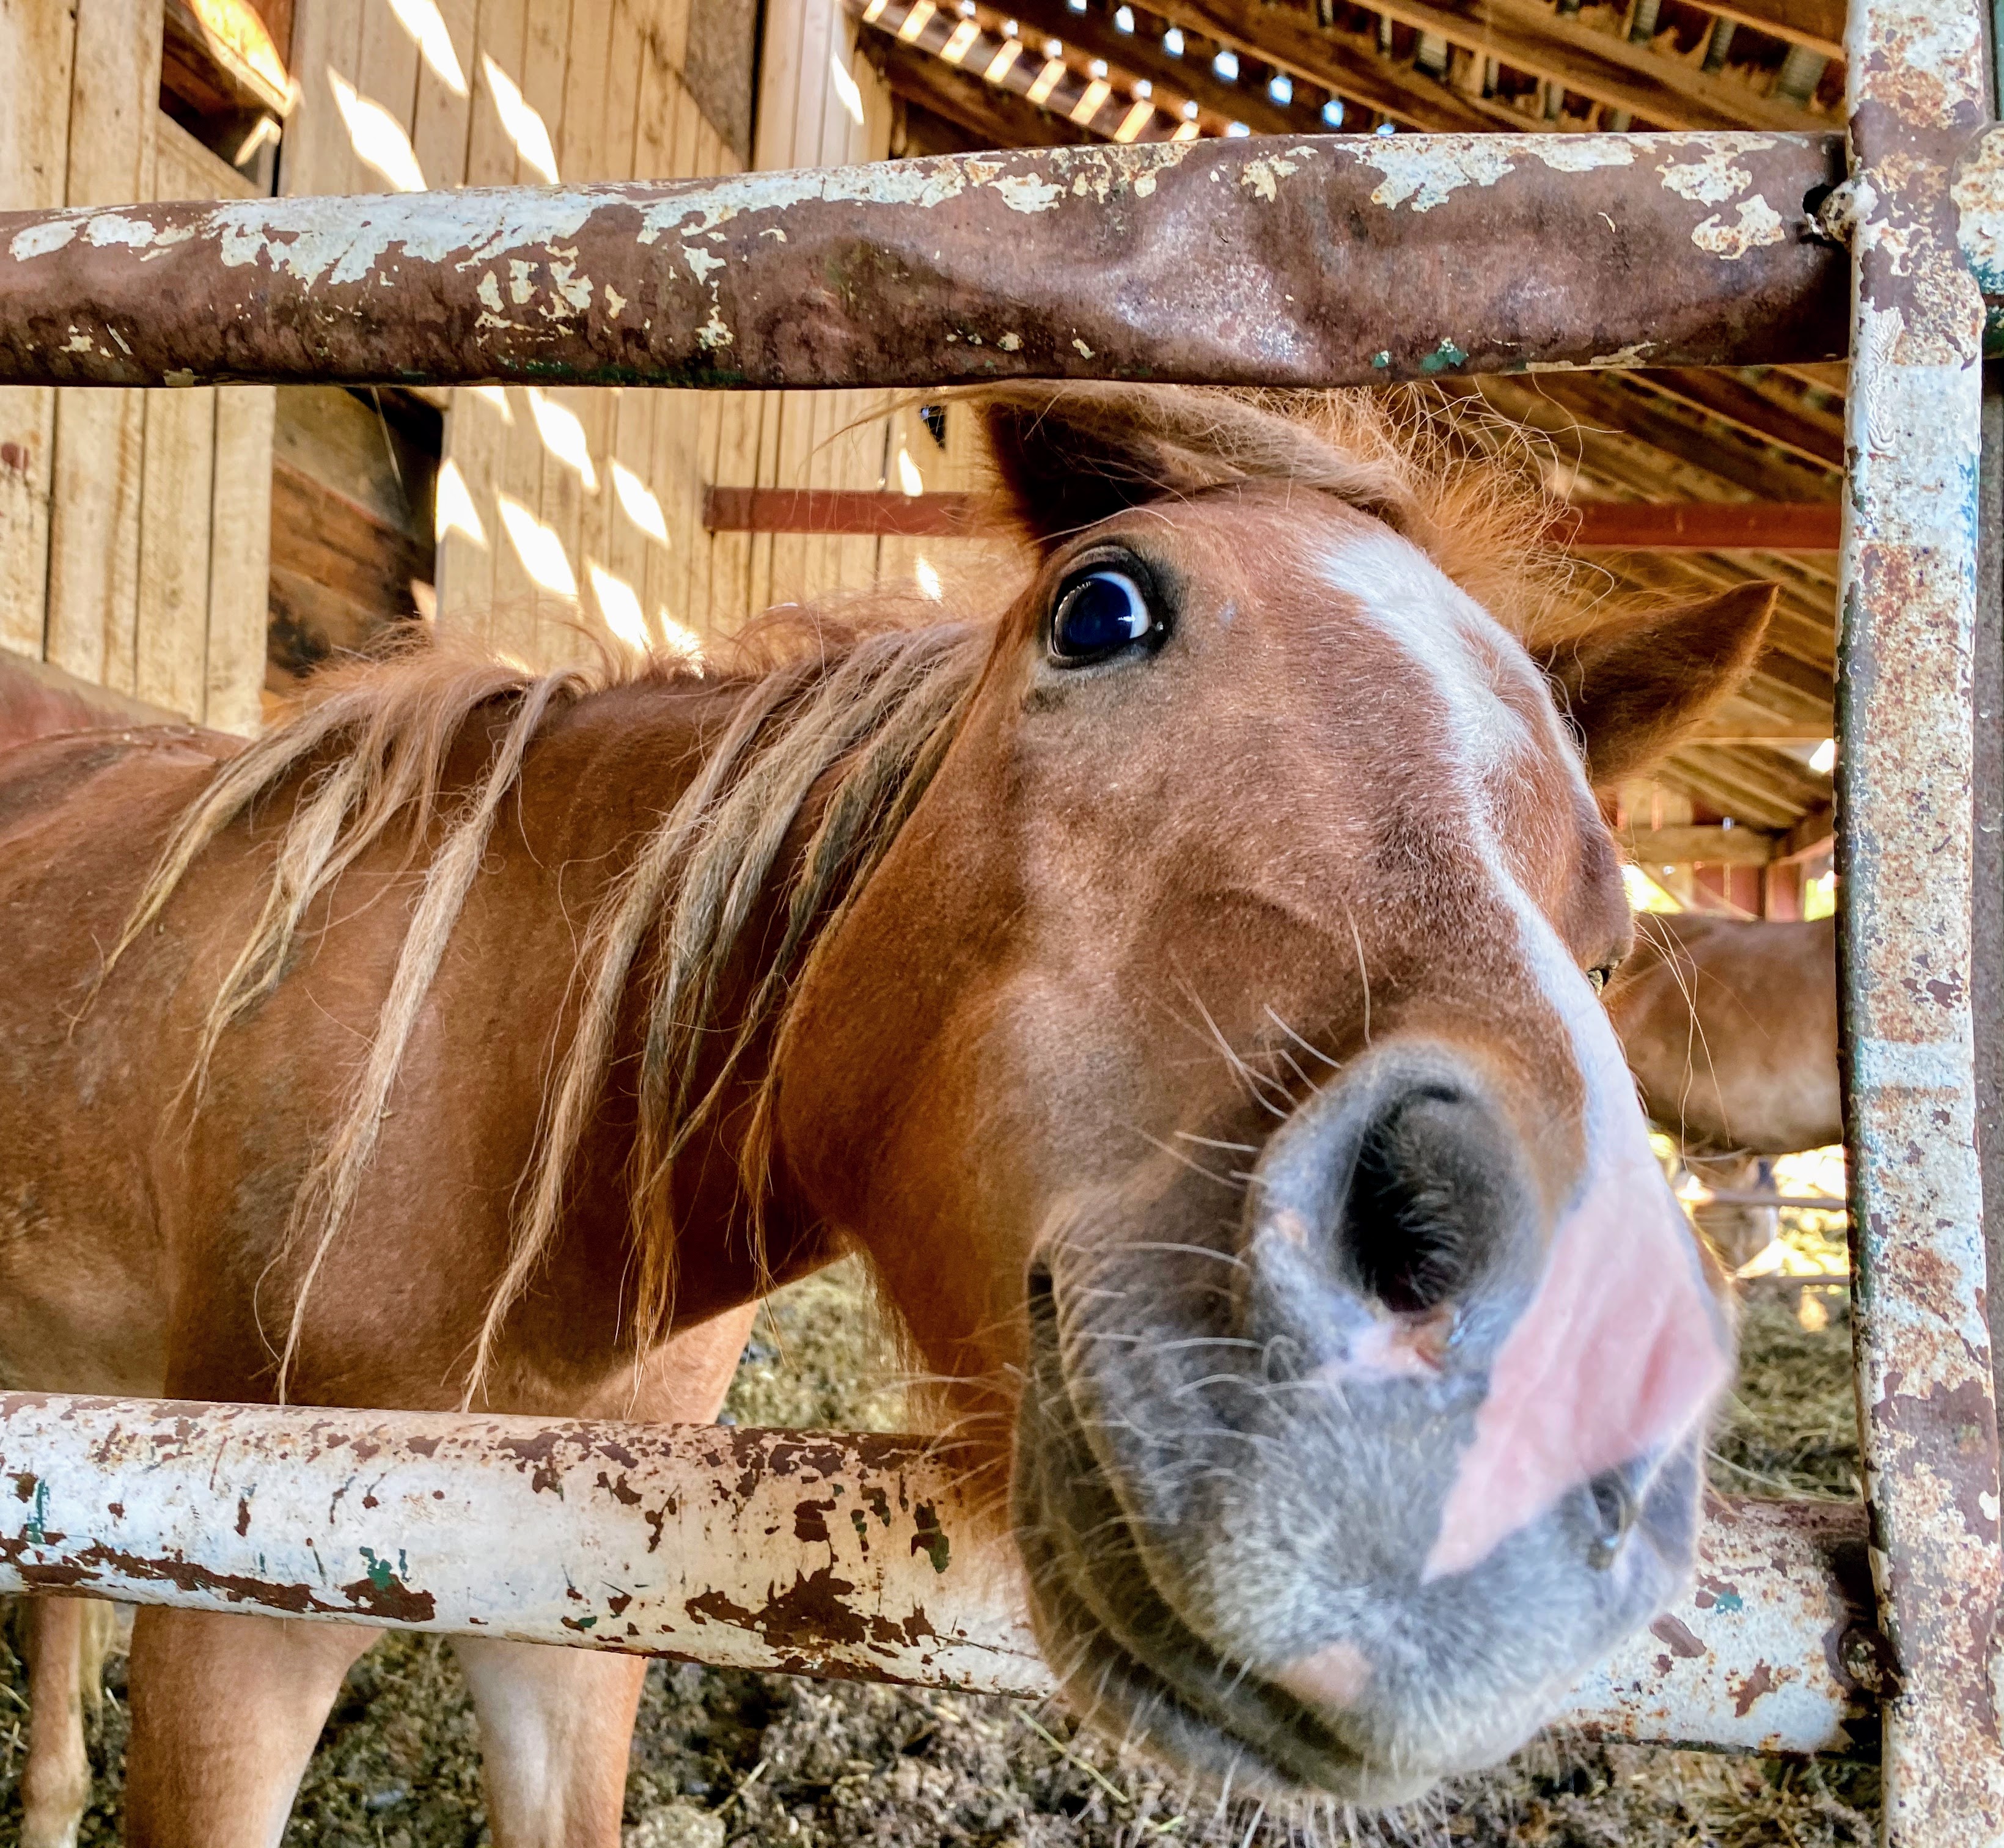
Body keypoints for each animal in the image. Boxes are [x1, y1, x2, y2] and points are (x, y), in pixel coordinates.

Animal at [0, 383, 1774, 1844]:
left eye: (1605, 941)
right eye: (1102, 606)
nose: (1538, 1391)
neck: (486, 1097)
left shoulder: (555, 1608)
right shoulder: (230, 1620)